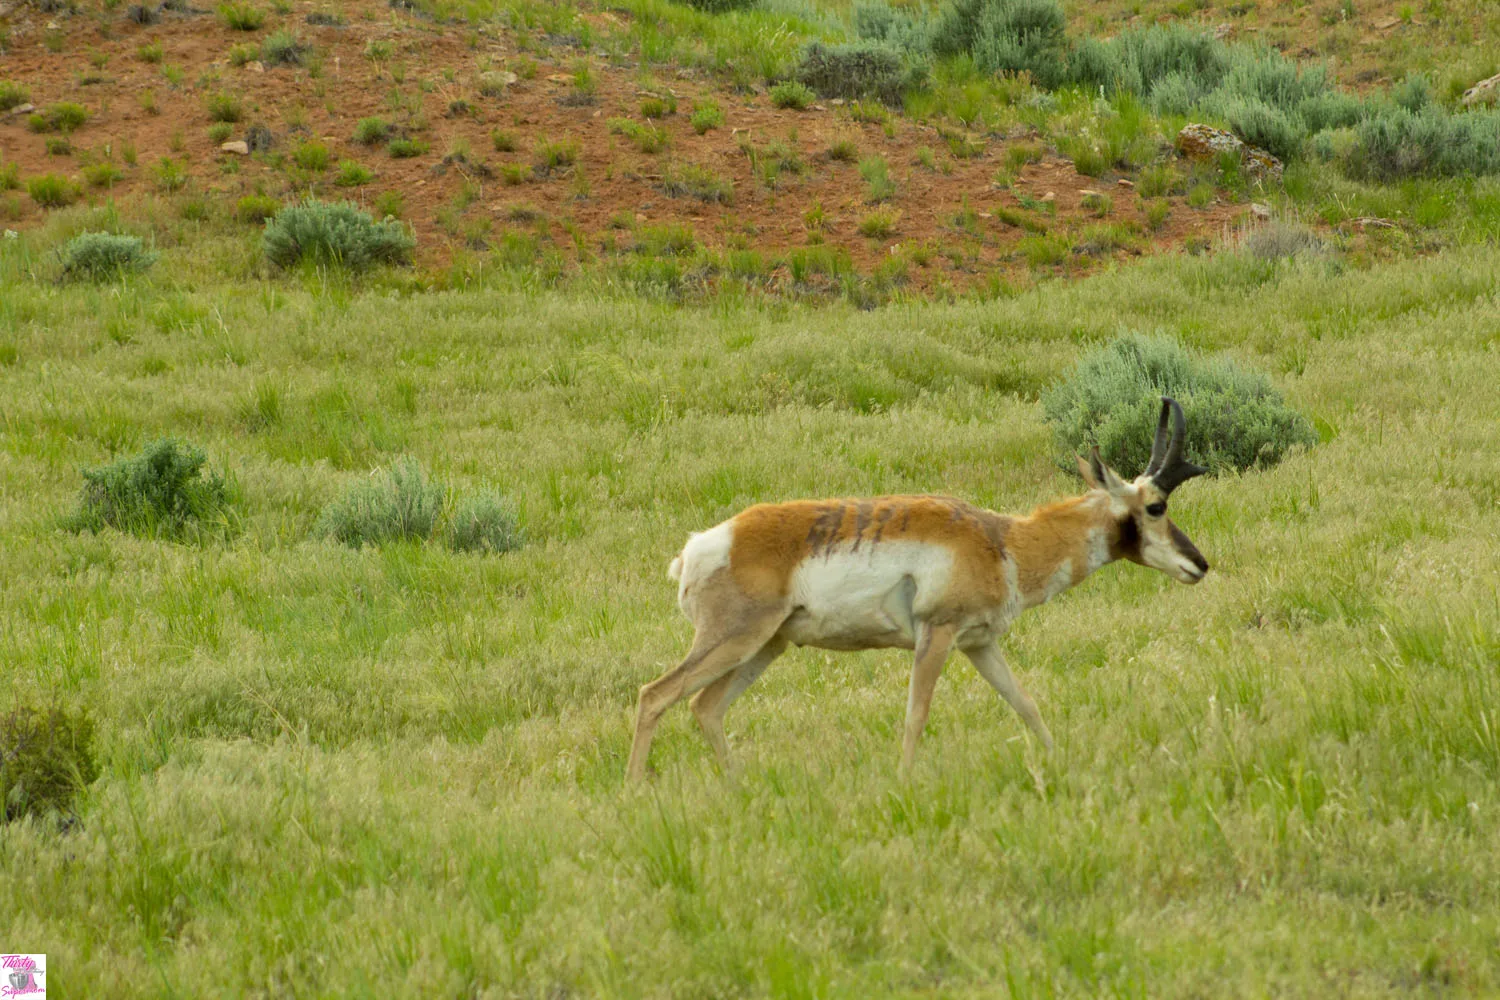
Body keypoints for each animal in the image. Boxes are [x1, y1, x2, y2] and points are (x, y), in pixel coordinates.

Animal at [627, 395, 1212, 779]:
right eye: (1156, 506)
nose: (1200, 565)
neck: (1001, 540)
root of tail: (703, 545)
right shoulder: (937, 636)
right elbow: (916, 715)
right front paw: (906, 783)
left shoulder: (980, 644)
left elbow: (1025, 704)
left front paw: (1059, 761)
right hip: (736, 640)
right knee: (656, 694)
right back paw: (635, 793)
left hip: (768, 646)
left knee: (706, 707)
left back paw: (738, 786)